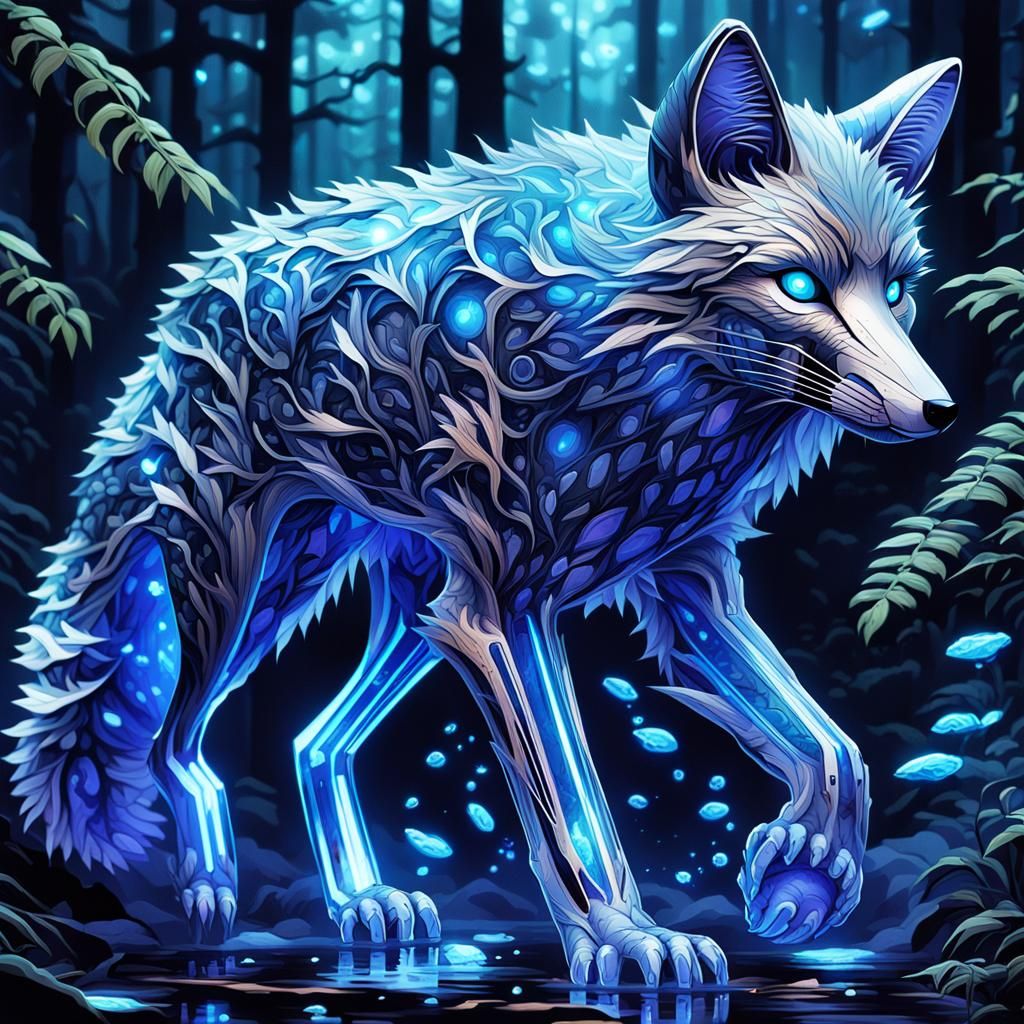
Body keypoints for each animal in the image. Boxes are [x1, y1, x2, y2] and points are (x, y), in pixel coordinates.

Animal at [6, 21, 960, 985]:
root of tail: (177, 314)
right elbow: (570, 810)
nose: (940, 411)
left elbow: (833, 749)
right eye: (800, 286)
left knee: (314, 739)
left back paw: (365, 902)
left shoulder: (682, 581)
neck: (627, 346)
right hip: (254, 594)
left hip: (406, 608)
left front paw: (810, 869)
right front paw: (626, 938)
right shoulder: (504, 610)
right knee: (174, 742)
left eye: (898, 290)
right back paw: (211, 895)